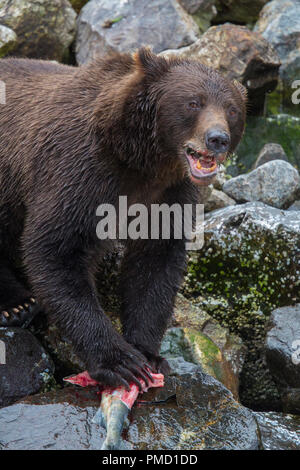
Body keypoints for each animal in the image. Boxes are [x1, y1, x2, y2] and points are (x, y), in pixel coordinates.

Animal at [0, 48, 246, 390]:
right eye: (193, 102)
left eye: (232, 110)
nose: (217, 139)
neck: (141, 159)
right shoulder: (77, 173)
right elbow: (56, 250)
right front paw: (120, 362)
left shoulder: (168, 193)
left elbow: (154, 264)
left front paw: (148, 353)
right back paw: (15, 305)